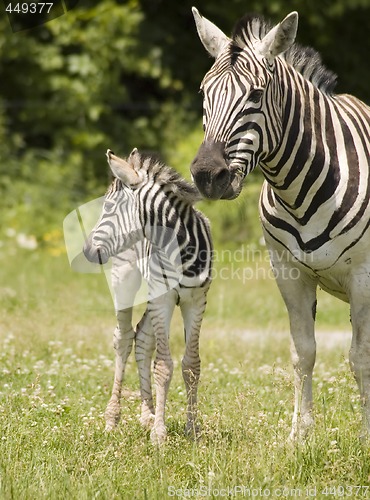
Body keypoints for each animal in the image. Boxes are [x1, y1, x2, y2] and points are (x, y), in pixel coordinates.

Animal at [82, 148, 212, 446]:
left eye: (108, 208)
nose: (86, 251)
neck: (183, 248)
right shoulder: (163, 299)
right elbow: (163, 366)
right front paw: (160, 435)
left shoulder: (196, 301)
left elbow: (191, 365)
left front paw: (192, 430)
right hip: (125, 281)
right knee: (123, 338)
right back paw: (113, 418)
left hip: (154, 296)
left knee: (142, 338)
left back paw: (147, 415)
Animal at [189, 6, 370, 438]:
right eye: (203, 94)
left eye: (255, 95)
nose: (207, 175)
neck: (301, 189)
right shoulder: (288, 272)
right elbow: (303, 352)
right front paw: (300, 435)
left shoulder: (363, 275)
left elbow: (360, 358)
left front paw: (366, 436)